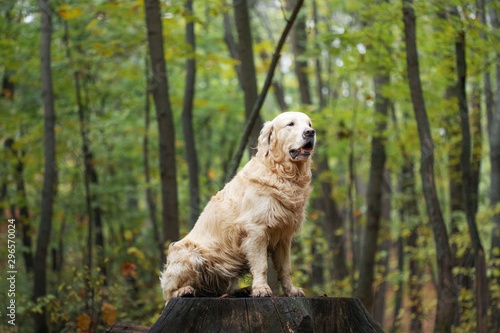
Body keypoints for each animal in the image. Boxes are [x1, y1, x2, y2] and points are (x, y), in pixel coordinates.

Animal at [160, 110, 316, 302]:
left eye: (309, 124)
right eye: (290, 124)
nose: (310, 132)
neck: (282, 173)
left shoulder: (284, 237)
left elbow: (285, 268)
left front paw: (291, 291)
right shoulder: (256, 231)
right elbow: (261, 265)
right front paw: (261, 289)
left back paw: (242, 290)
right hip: (189, 254)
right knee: (168, 292)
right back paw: (184, 290)